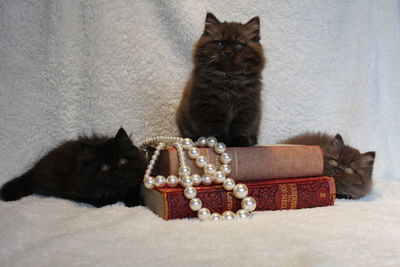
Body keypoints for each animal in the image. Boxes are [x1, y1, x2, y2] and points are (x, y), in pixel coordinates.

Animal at [0, 129, 147, 208]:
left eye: (122, 160)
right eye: (104, 167)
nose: (116, 170)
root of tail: (37, 166)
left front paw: (136, 202)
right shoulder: (75, 193)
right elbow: (101, 199)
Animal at [176, 12, 266, 147]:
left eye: (238, 45)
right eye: (219, 43)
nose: (227, 52)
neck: (229, 80)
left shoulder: (247, 108)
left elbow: (241, 127)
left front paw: (241, 141)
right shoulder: (209, 107)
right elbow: (215, 128)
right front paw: (219, 141)